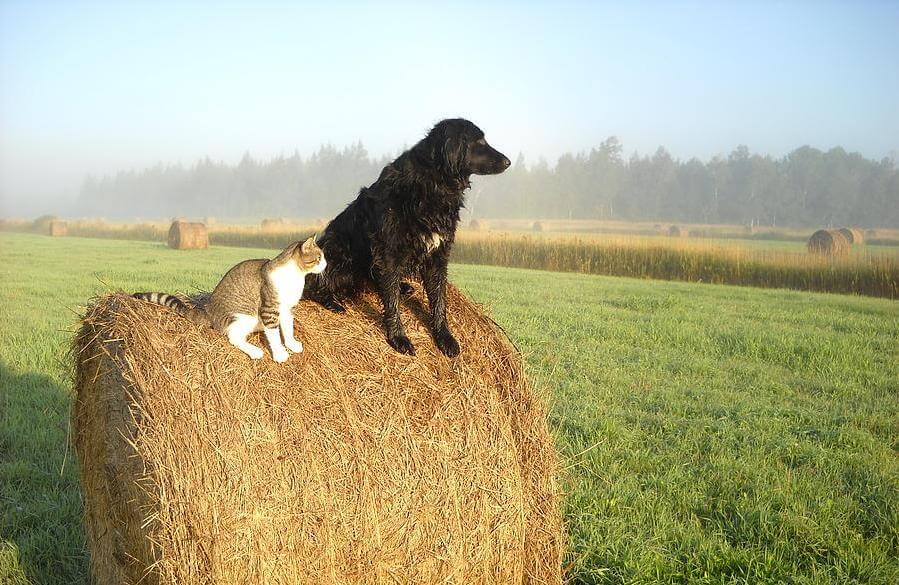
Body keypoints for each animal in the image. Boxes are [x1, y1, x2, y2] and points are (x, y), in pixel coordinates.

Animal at [134, 235, 326, 358]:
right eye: (319, 257)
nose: (326, 264)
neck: (296, 276)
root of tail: (208, 312)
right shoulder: (269, 310)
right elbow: (274, 335)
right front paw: (279, 354)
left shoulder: (286, 310)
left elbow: (287, 329)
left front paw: (292, 344)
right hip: (244, 316)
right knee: (233, 337)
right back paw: (255, 351)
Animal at [308, 117, 506, 356]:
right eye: (480, 142)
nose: (508, 162)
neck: (434, 183)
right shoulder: (389, 253)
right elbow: (392, 302)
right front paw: (398, 337)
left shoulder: (438, 255)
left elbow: (439, 300)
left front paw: (445, 337)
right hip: (337, 251)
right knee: (316, 285)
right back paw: (332, 301)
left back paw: (403, 287)